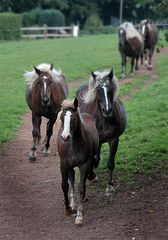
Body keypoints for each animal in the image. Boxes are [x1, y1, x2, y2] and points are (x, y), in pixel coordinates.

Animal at [56, 97, 98, 225]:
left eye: (73, 119)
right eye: (61, 118)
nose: (65, 137)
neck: (73, 145)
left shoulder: (84, 165)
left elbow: (81, 187)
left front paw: (79, 215)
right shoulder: (64, 164)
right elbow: (65, 185)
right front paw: (68, 209)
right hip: (69, 165)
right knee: (71, 179)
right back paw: (73, 203)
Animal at [75, 69, 126, 197]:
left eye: (110, 89)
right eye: (98, 90)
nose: (107, 110)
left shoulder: (114, 139)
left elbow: (110, 163)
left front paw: (109, 187)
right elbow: (93, 160)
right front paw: (91, 175)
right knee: (94, 158)